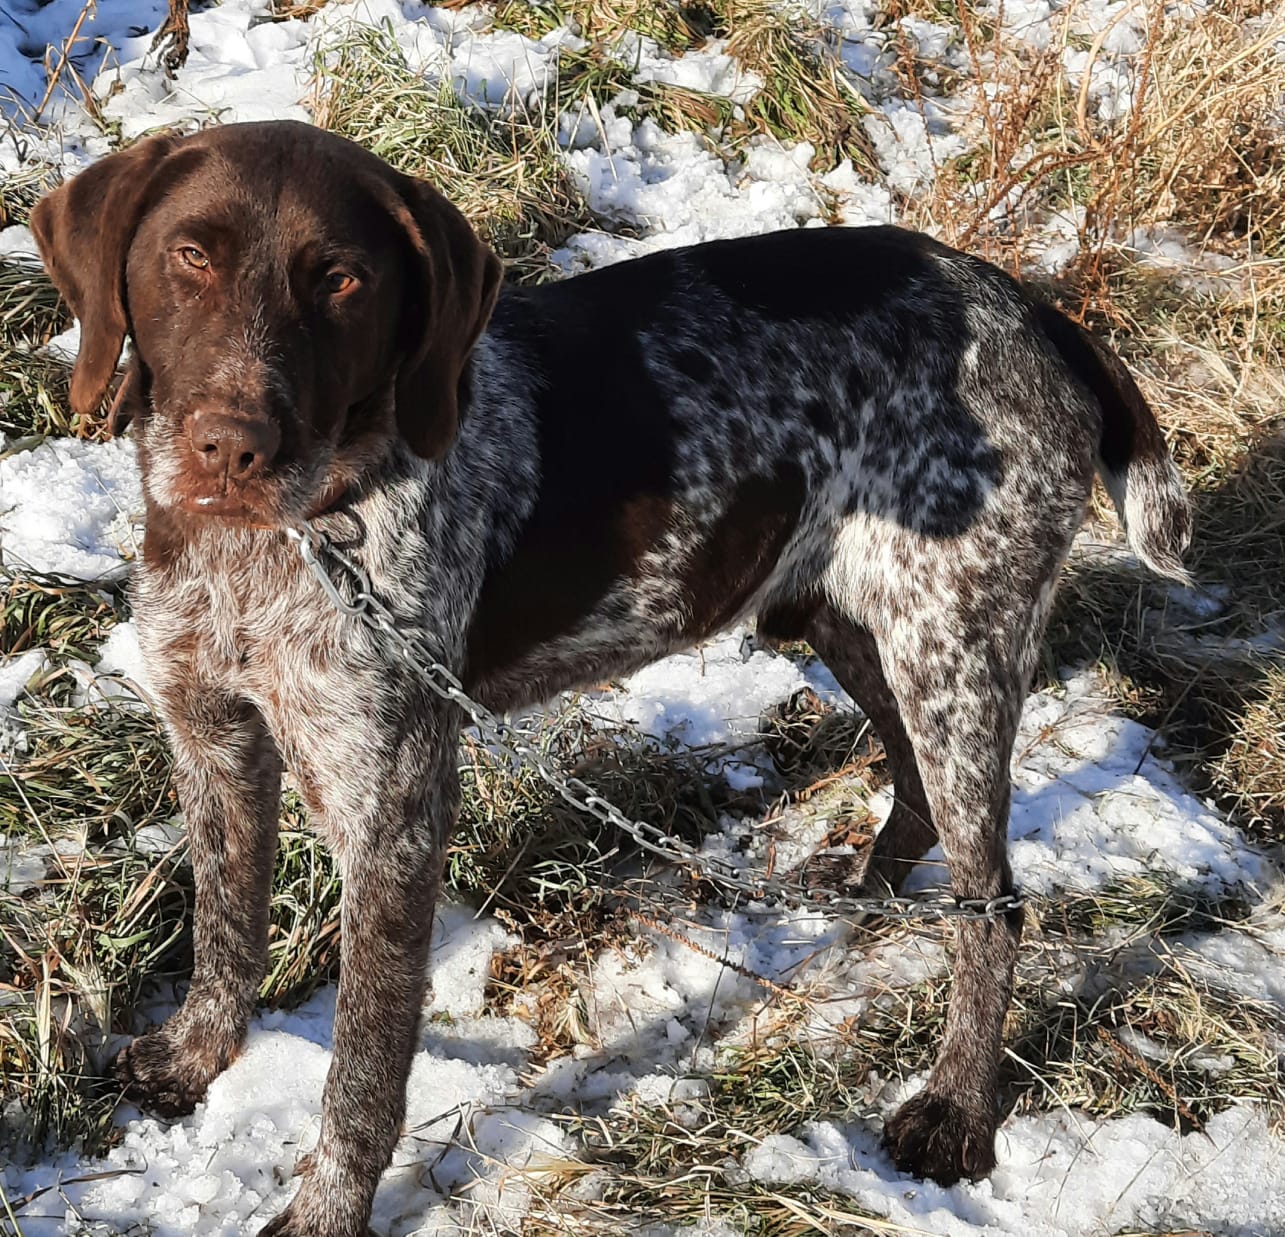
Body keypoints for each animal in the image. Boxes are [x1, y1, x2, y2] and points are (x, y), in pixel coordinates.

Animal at [32, 118, 1192, 1237]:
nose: (233, 448)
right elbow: (226, 928)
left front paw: (327, 1209)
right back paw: (871, 893)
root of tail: (1030, 309)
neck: (279, 546)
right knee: (911, 776)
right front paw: (196, 1057)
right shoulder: (213, 737)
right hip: (852, 616)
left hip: (954, 645)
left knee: (993, 903)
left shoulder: (390, 812)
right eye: (190, 256)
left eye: (343, 280)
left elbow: (362, 1065)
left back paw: (954, 1106)